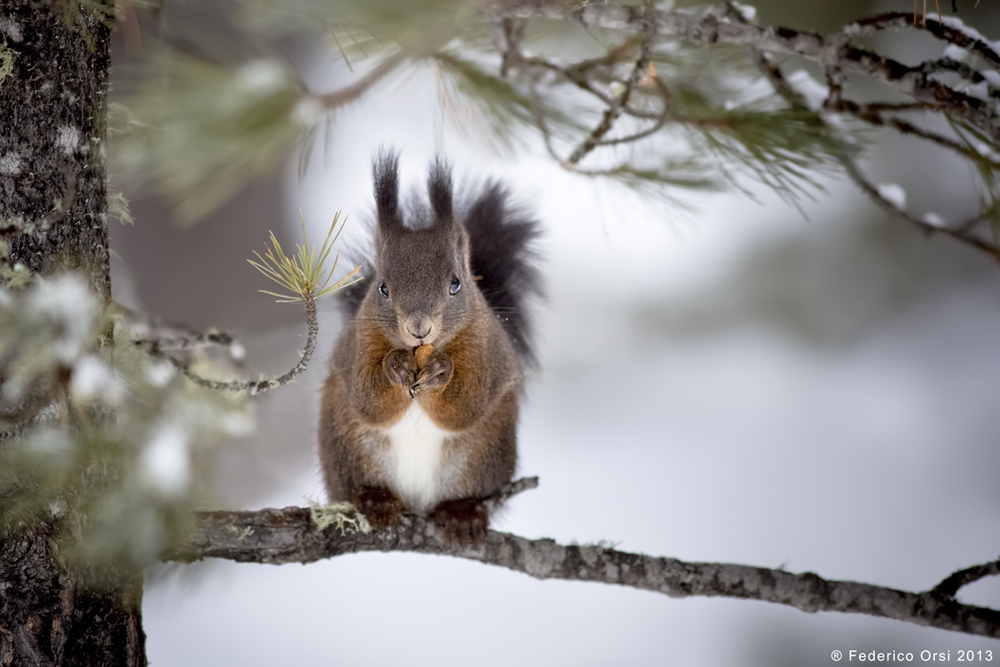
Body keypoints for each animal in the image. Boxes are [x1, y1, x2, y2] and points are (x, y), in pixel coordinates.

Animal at [318, 153, 540, 548]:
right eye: (383, 288)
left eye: (455, 284)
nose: (418, 328)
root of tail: (417, 502)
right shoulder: (360, 344)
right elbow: (368, 400)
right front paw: (395, 367)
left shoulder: (483, 348)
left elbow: (466, 405)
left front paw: (441, 373)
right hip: (345, 447)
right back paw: (374, 500)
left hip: (486, 454)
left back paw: (462, 512)